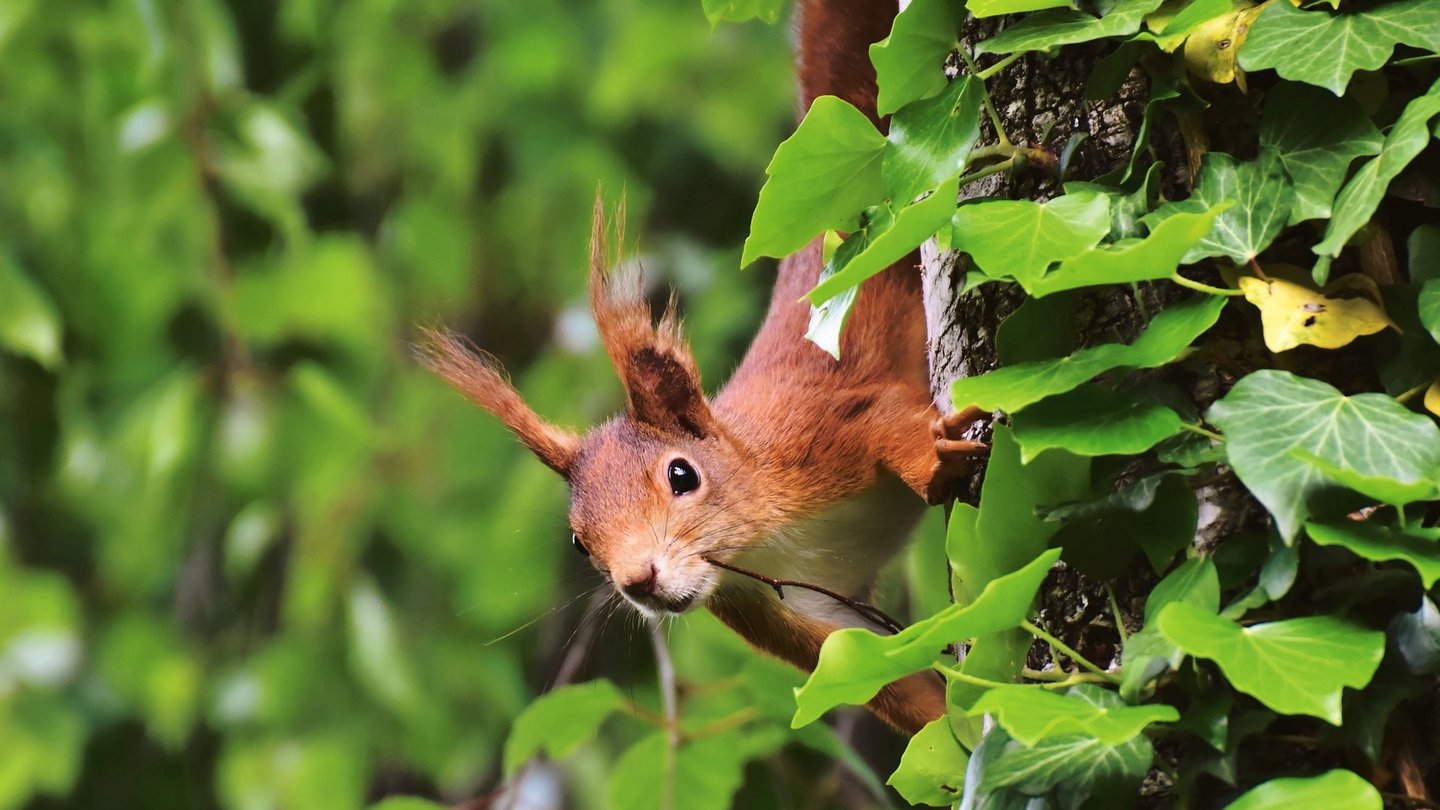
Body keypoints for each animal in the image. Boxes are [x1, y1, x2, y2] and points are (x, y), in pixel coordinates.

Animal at [420, 0, 990, 732]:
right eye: (578, 542)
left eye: (682, 475)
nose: (638, 581)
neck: (764, 538)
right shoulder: (784, 612)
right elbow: (883, 678)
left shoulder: (825, 431)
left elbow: (887, 419)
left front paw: (939, 459)